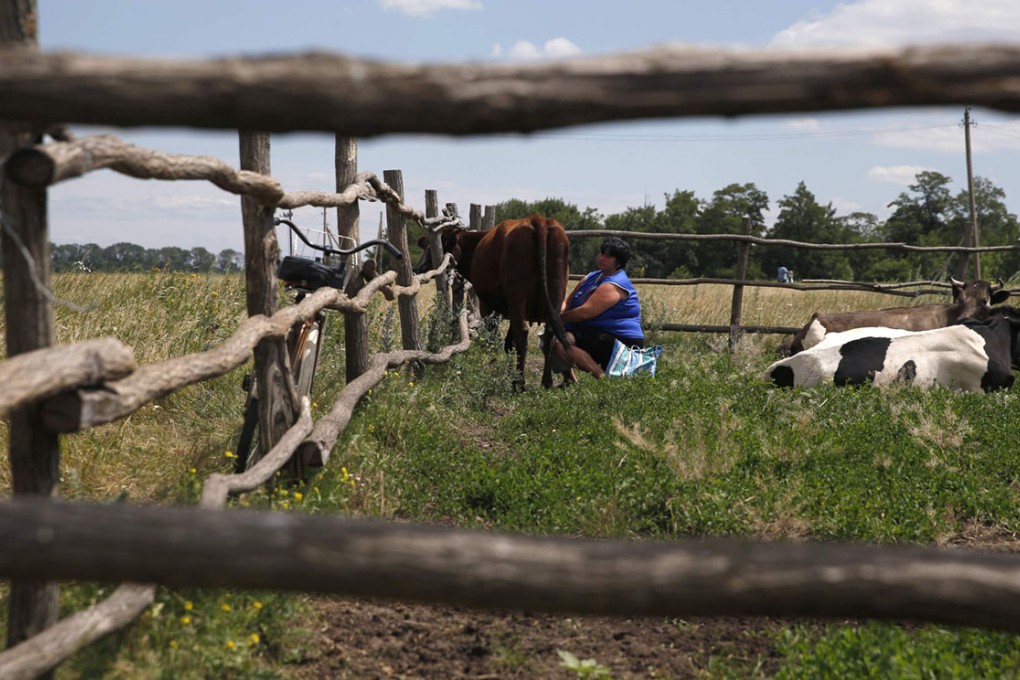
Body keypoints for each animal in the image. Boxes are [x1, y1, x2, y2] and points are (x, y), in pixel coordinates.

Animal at [439, 214, 573, 390]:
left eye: (445, 242)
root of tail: (537, 219)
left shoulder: (490, 308)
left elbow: (494, 339)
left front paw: (494, 370)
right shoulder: (509, 310)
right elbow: (509, 342)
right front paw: (507, 373)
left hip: (517, 296)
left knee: (522, 333)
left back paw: (520, 382)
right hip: (556, 291)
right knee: (549, 333)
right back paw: (545, 381)